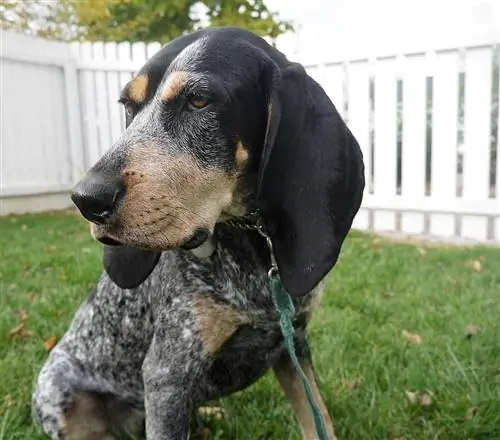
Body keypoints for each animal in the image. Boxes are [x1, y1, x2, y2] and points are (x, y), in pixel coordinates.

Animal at [33, 25, 366, 438]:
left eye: (199, 100)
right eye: (129, 105)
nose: (86, 199)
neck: (251, 252)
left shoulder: (294, 344)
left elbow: (318, 419)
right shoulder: (167, 374)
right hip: (62, 401)